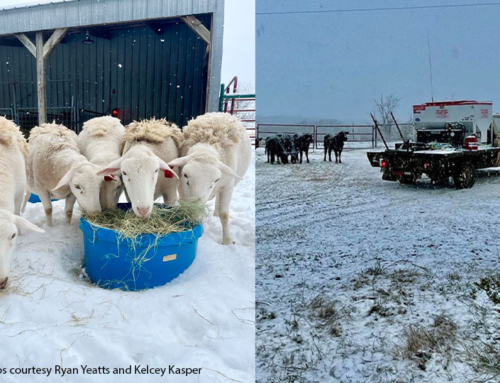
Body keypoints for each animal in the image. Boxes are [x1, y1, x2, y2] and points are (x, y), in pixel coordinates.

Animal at [168, 113, 252, 246]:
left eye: (215, 180)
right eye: (185, 175)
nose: (195, 215)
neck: (205, 147)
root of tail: (220, 113)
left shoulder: (227, 187)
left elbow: (224, 215)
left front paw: (227, 241)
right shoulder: (181, 187)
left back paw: (216, 213)